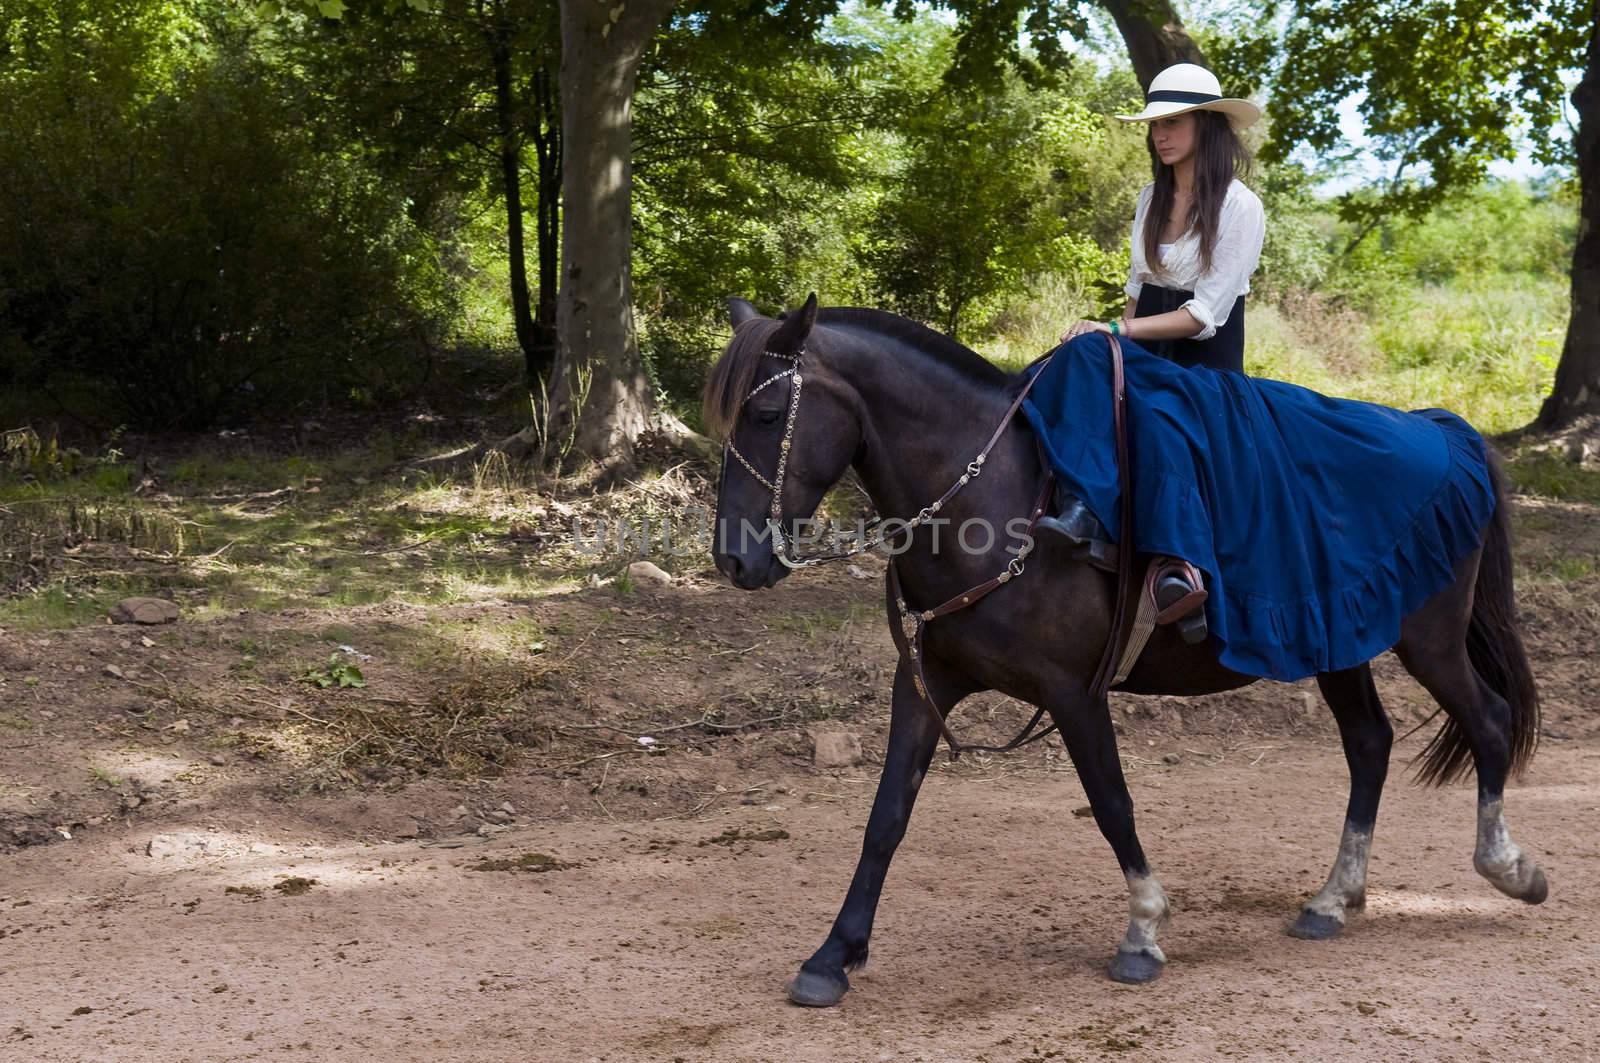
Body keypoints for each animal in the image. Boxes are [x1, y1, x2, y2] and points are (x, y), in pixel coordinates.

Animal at [704, 292, 1548, 1005]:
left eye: (768, 411)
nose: (734, 560)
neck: (999, 499)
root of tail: (1442, 428)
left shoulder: (1073, 693)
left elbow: (1112, 803)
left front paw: (1143, 929)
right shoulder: (925, 683)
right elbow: (885, 817)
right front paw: (832, 956)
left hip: (1426, 639)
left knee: (1489, 719)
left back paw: (1509, 867)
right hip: (1345, 640)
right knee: (1371, 743)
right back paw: (1332, 899)